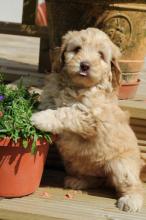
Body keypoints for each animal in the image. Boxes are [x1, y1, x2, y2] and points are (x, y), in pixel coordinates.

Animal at [31, 27, 143, 211]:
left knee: (133, 184)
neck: (76, 86)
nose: (85, 65)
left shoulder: (91, 116)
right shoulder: (51, 96)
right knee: (96, 179)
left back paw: (131, 200)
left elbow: (66, 112)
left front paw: (41, 118)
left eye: (101, 55)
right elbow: (49, 104)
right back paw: (79, 181)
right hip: (75, 163)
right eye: (77, 49)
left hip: (121, 165)